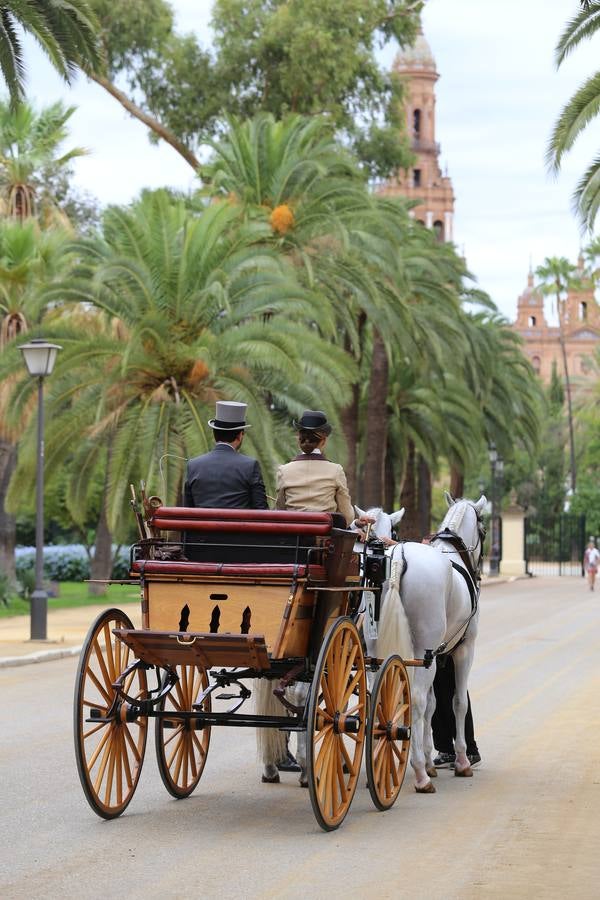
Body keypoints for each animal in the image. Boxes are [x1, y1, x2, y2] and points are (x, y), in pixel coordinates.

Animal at [358, 492, 486, 796]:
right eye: (485, 528)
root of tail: (398, 560)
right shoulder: (463, 650)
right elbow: (457, 702)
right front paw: (461, 759)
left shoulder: (435, 656)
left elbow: (432, 704)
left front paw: (430, 758)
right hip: (422, 651)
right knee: (414, 700)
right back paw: (419, 774)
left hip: (375, 650)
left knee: (376, 695)